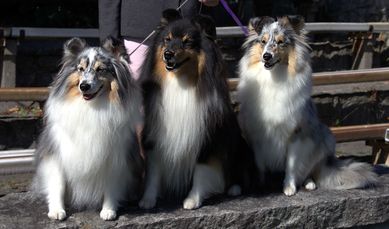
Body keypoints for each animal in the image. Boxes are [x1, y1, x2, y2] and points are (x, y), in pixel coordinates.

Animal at [33, 37, 142, 220]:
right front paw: (56, 210)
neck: (91, 107)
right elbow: (58, 183)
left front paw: (109, 210)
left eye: (101, 69)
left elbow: (111, 184)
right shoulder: (57, 151)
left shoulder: (115, 155)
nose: (84, 86)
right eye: (80, 69)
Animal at [136, 11, 246, 211]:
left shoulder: (206, 137)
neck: (180, 81)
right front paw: (148, 199)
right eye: (167, 39)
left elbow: (200, 170)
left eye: (187, 42)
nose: (168, 54)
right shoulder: (155, 135)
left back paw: (234, 188)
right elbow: (153, 170)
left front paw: (193, 200)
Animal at [236, 15, 376, 195]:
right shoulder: (256, 135)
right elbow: (260, 166)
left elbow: (291, 164)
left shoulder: (296, 133)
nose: (266, 56)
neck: (274, 78)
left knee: (309, 171)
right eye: (263, 41)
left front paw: (289, 188)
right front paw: (259, 186)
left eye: (281, 42)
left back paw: (309, 183)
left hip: (323, 136)